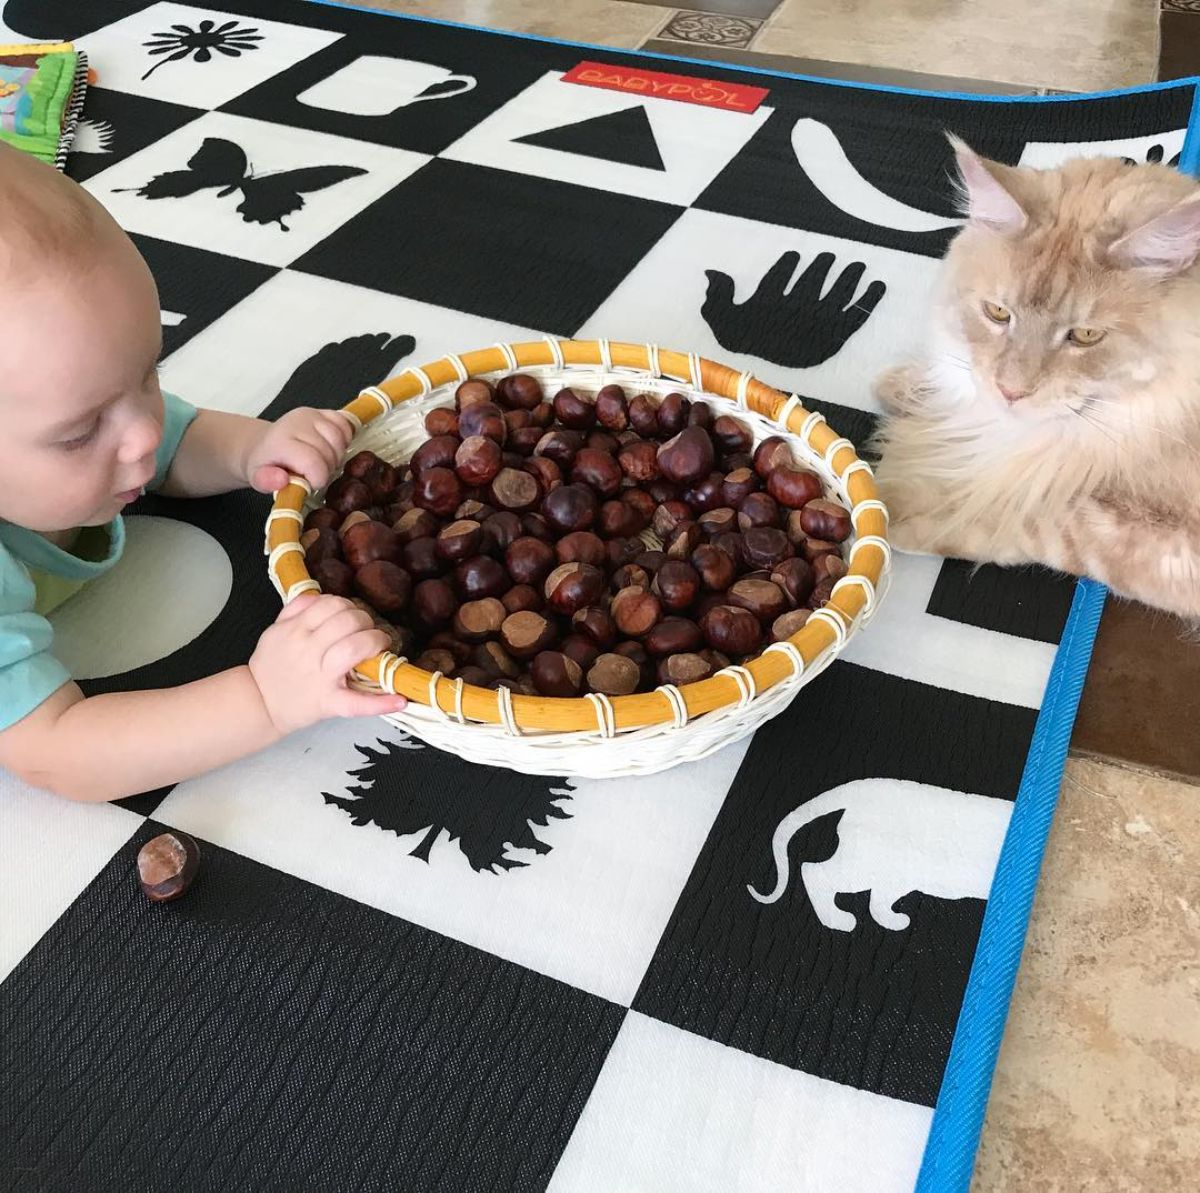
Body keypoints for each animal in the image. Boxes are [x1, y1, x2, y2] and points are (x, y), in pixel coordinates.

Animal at [744, 777, 1008, 936]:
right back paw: (837, 920)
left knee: (877, 901)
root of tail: (857, 790)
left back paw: (894, 921)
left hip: (897, 872)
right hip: (864, 863)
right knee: (813, 871)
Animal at [873, 139, 1200, 619]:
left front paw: (894, 505)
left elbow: (1040, 518)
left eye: (1085, 336)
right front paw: (908, 387)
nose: (1011, 392)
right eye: (997, 313)